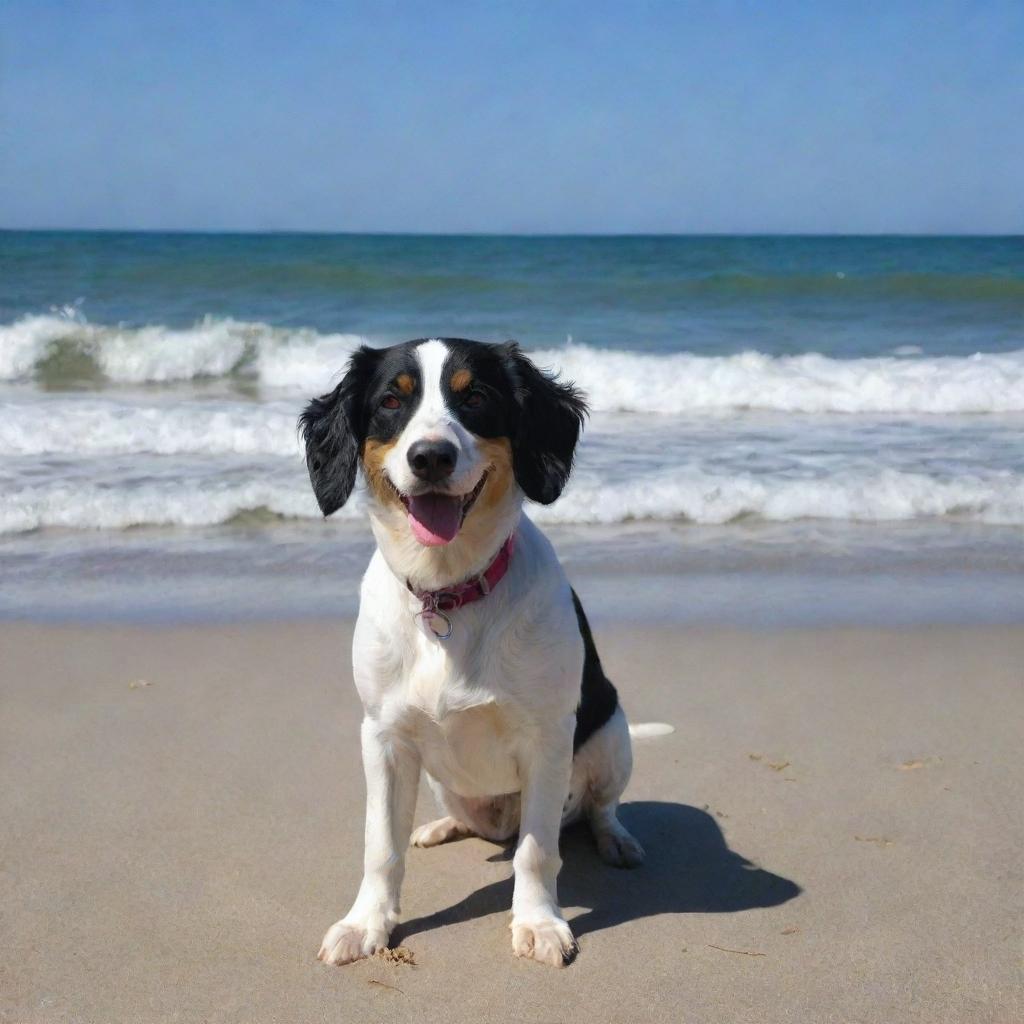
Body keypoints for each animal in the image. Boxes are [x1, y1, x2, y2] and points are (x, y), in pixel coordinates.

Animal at [299, 337, 643, 966]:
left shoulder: (547, 738)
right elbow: (379, 846)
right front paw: (366, 923)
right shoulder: (383, 736)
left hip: (612, 734)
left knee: (598, 807)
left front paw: (538, 922)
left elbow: (537, 850)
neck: (448, 592)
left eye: (476, 397)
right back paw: (440, 828)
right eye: (392, 401)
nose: (430, 457)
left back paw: (617, 840)